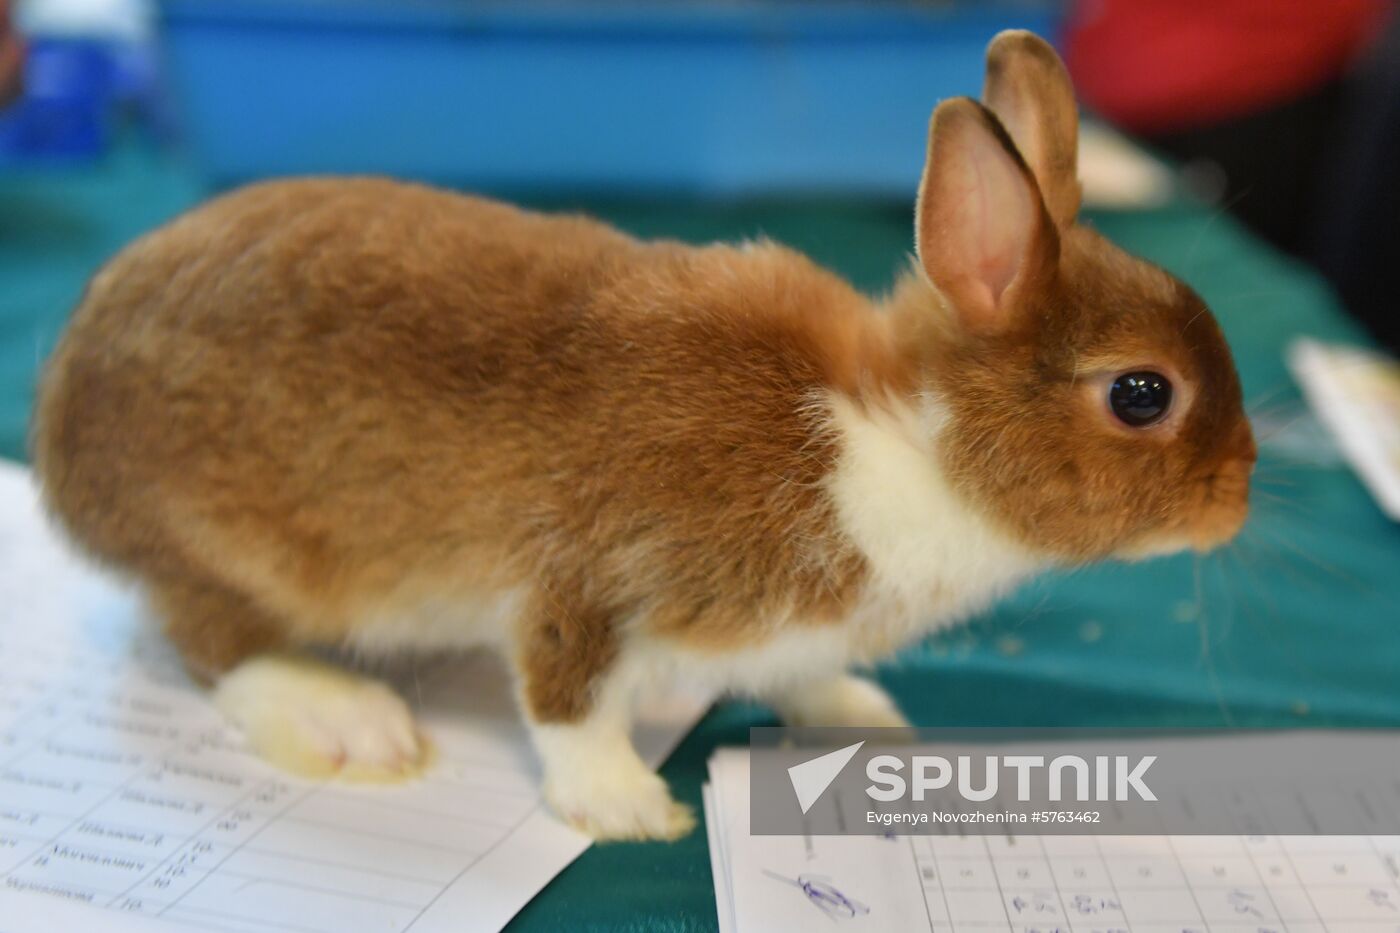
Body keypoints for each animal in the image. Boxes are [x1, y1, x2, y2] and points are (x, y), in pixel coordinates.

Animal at [27, 32, 1254, 840]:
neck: (902, 439)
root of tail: (59, 419)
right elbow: (566, 702)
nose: (1238, 496)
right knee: (207, 643)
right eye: (1140, 394)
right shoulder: (587, 583)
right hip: (236, 550)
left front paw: (863, 720)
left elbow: (800, 674)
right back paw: (348, 718)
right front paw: (626, 809)